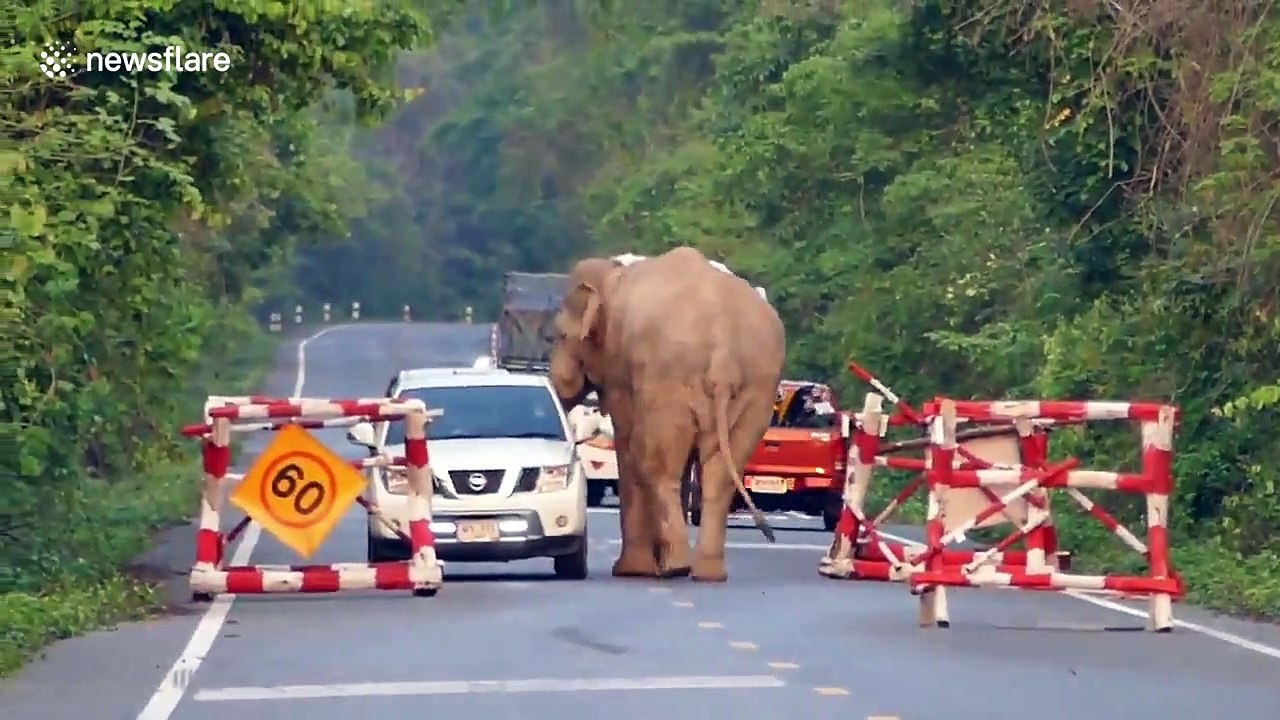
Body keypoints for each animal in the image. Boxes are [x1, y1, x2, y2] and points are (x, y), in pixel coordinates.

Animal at [548, 246, 786, 582]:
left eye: (558, 336)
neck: (614, 271)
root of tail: (723, 355)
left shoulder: (622, 369)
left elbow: (627, 442)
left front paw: (631, 571)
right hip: (756, 391)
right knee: (720, 475)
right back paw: (706, 573)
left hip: (668, 382)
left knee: (655, 463)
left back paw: (674, 569)